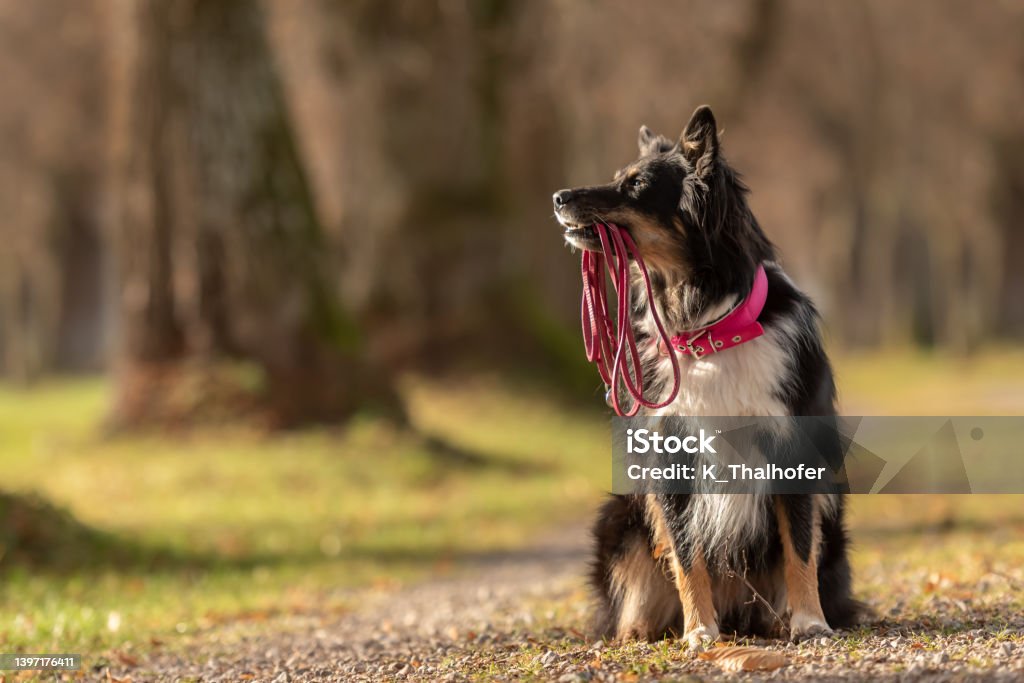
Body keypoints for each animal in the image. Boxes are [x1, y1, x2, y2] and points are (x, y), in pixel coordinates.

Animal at [557, 105, 860, 647]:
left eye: (636, 186)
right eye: (617, 178)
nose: (558, 198)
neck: (710, 332)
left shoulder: (794, 451)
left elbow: (800, 548)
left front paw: (810, 622)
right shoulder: (670, 453)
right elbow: (686, 554)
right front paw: (700, 631)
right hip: (619, 521)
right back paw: (641, 632)